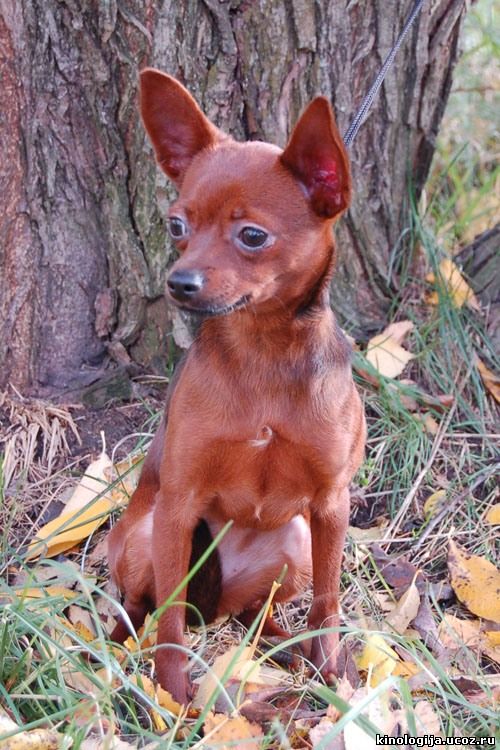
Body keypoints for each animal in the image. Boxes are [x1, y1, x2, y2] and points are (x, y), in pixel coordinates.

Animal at [107, 69, 366, 704]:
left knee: (254, 612)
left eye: (252, 236)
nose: (179, 282)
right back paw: (117, 645)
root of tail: (219, 604)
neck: (263, 354)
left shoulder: (331, 507)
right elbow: (172, 621)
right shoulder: (178, 507)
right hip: (147, 534)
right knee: (146, 607)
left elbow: (329, 601)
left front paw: (333, 671)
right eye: (177, 225)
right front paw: (173, 694)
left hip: (294, 541)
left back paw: (284, 647)